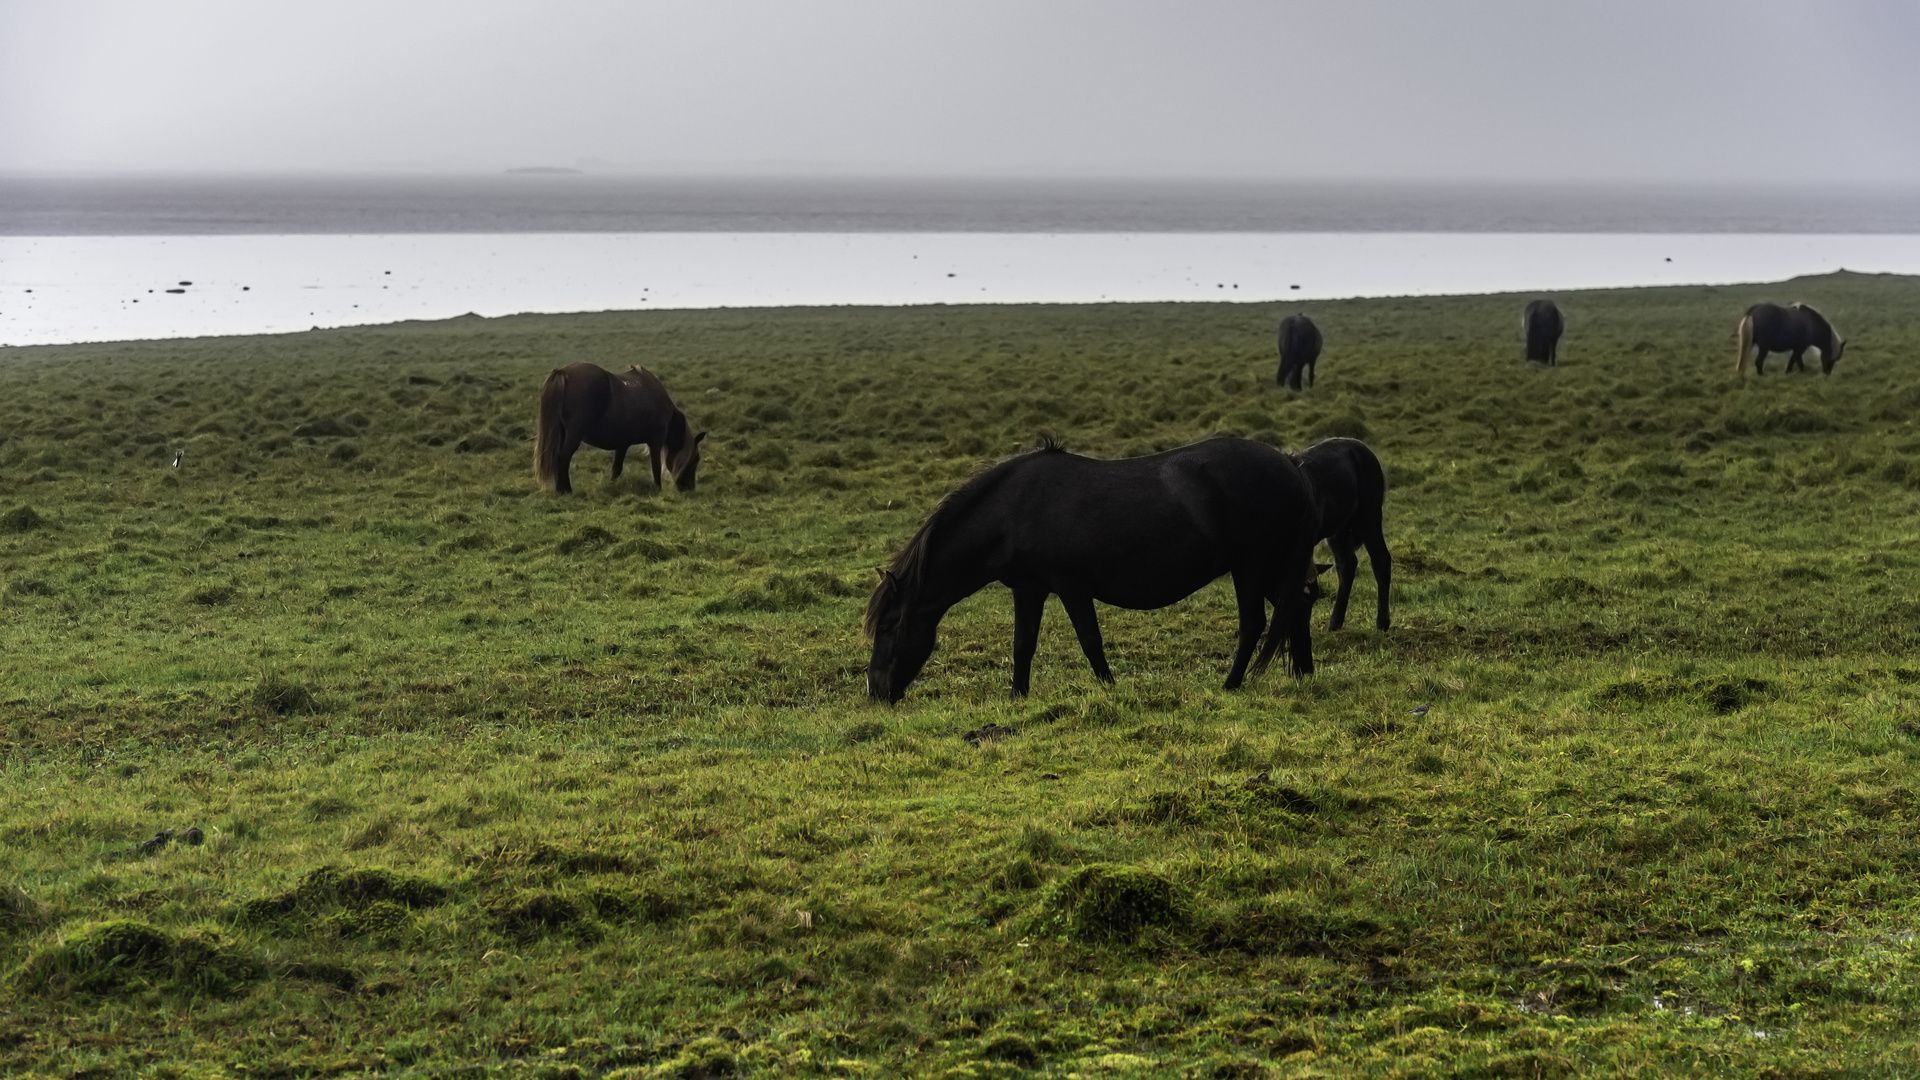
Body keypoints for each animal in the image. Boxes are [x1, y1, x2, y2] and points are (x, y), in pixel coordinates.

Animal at [533, 363, 706, 495]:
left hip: (562, 433)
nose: (689, 489)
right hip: (574, 435)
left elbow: (616, 469)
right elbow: (656, 467)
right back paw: (565, 490)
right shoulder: (655, 442)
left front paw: (611, 487)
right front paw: (658, 489)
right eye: (695, 459)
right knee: (563, 457)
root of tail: (563, 373)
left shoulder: (623, 444)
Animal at [867, 432, 1320, 703]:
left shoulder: (1072, 587)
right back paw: (1304, 675)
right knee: (1297, 607)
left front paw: (1109, 688)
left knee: (1254, 623)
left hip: (1253, 568)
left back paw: (1231, 684)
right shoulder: (1028, 588)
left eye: (888, 628)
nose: (875, 691)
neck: (1012, 510)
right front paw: (1017, 697)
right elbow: (1023, 643)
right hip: (1274, 568)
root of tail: (1291, 466)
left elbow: (1090, 640)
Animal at [1297, 432, 1390, 626]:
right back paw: (1334, 623)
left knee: (1381, 560)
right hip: (1339, 531)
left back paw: (1382, 622)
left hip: (1368, 518)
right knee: (1347, 566)